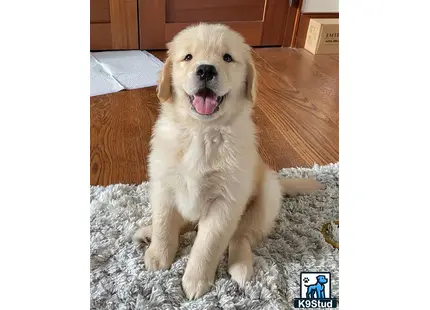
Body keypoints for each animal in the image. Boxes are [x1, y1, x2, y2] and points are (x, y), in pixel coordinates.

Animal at [134, 23, 322, 300]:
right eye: (188, 57)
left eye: (227, 58)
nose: (205, 69)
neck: (201, 132)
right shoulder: (163, 186)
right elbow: (164, 223)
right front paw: (159, 255)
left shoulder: (225, 202)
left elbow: (207, 245)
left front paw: (195, 280)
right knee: (185, 223)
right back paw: (147, 233)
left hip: (265, 199)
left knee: (241, 236)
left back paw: (241, 266)